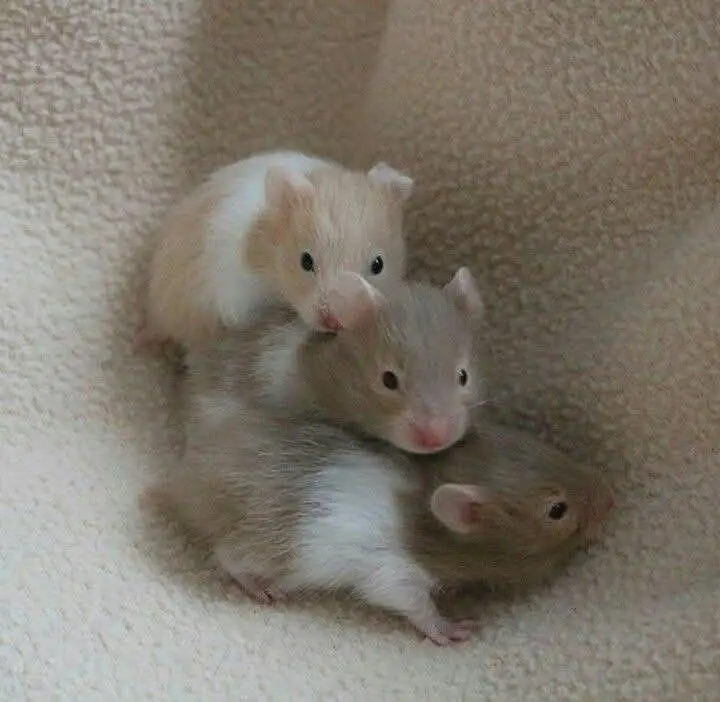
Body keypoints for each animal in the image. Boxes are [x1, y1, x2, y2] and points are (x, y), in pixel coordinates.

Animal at [153, 402, 614, 646]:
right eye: (557, 510)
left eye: (546, 447)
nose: (612, 498)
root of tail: (183, 479)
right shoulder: (395, 572)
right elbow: (411, 602)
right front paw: (448, 628)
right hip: (260, 546)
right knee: (228, 558)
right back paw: (260, 586)